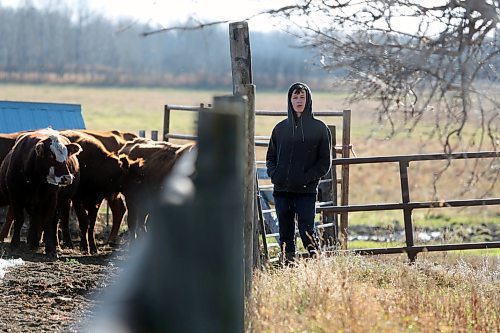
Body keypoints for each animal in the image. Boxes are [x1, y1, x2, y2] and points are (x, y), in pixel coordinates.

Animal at [0, 127, 80, 256]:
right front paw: (14, 244)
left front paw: (51, 249)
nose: (67, 178)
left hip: (65, 200)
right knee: (34, 220)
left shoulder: (51, 198)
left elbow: (48, 221)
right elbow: (19, 219)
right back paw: (32, 242)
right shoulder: (15, 197)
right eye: (51, 156)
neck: (35, 178)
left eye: (66, 156)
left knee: (58, 220)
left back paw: (57, 244)